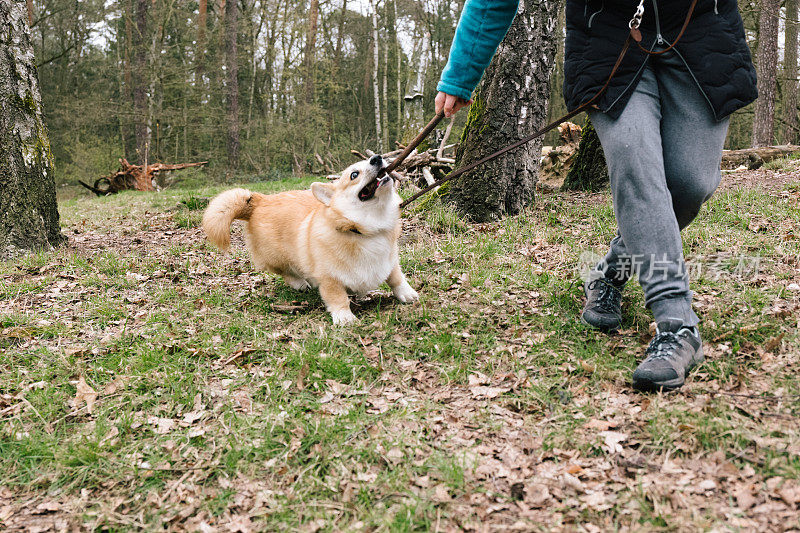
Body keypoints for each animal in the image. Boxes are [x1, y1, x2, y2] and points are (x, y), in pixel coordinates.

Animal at [202, 155, 418, 324]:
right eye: (354, 175)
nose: (377, 158)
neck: (364, 230)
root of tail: (260, 200)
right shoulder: (330, 279)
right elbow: (338, 298)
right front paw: (344, 318)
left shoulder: (389, 262)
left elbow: (396, 279)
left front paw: (407, 294)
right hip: (278, 258)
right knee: (286, 272)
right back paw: (300, 283)